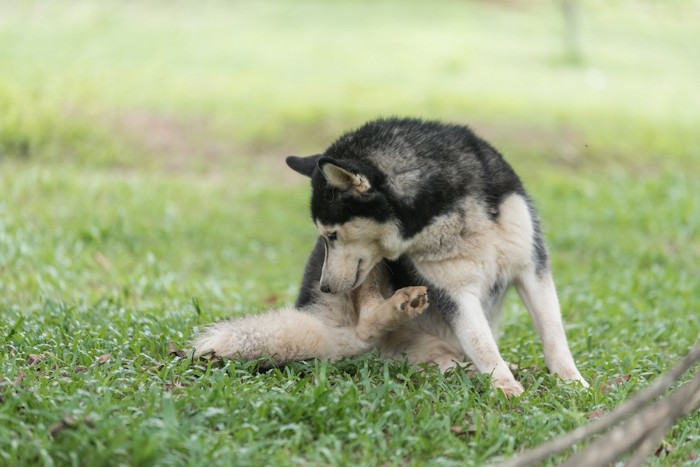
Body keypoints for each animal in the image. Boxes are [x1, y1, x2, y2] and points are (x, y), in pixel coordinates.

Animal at [194, 119, 588, 396]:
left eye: (332, 234)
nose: (326, 287)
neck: (446, 213)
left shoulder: (531, 266)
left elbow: (553, 333)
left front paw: (571, 381)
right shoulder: (454, 292)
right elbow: (483, 345)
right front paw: (505, 385)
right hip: (368, 271)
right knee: (366, 325)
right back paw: (400, 308)